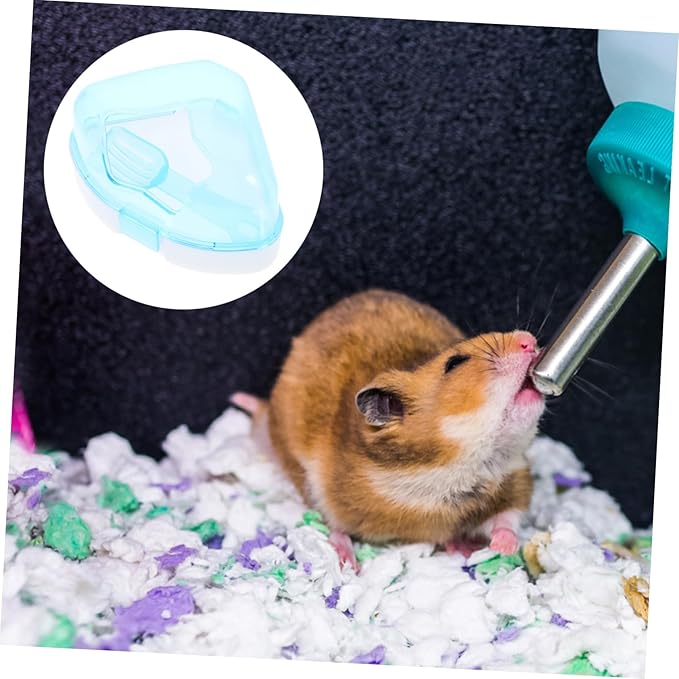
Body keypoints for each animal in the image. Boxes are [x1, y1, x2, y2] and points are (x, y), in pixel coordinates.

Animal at [232, 289, 545, 567]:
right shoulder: (327, 489)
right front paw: (347, 564)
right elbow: (334, 522)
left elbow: (507, 518)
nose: (529, 341)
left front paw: (502, 548)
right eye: (455, 362)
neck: (458, 465)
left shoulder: (516, 479)